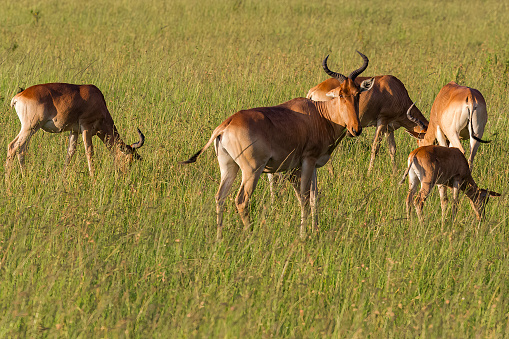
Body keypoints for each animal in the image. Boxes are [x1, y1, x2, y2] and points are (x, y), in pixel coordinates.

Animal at [5, 83, 145, 178]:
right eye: (128, 159)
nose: (124, 175)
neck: (96, 98)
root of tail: (19, 96)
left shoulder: (74, 131)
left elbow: (70, 152)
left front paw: (62, 177)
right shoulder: (86, 127)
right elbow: (89, 151)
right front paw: (93, 177)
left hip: (31, 129)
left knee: (22, 149)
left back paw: (25, 176)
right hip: (30, 127)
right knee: (13, 146)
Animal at [180, 51, 374, 240]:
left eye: (357, 93)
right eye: (340, 94)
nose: (355, 129)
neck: (319, 114)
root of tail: (226, 124)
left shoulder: (311, 166)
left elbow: (314, 198)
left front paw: (316, 230)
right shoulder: (306, 161)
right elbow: (304, 198)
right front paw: (304, 235)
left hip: (229, 167)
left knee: (220, 197)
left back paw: (219, 238)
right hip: (252, 170)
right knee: (242, 200)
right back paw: (250, 236)